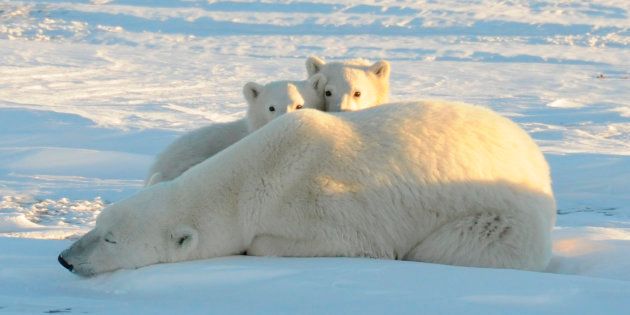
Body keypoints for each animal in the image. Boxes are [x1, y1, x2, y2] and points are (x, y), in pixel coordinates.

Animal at [56, 101, 556, 276]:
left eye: (111, 240)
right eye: (97, 224)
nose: (65, 258)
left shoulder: (326, 205)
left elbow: (350, 243)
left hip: (500, 218)